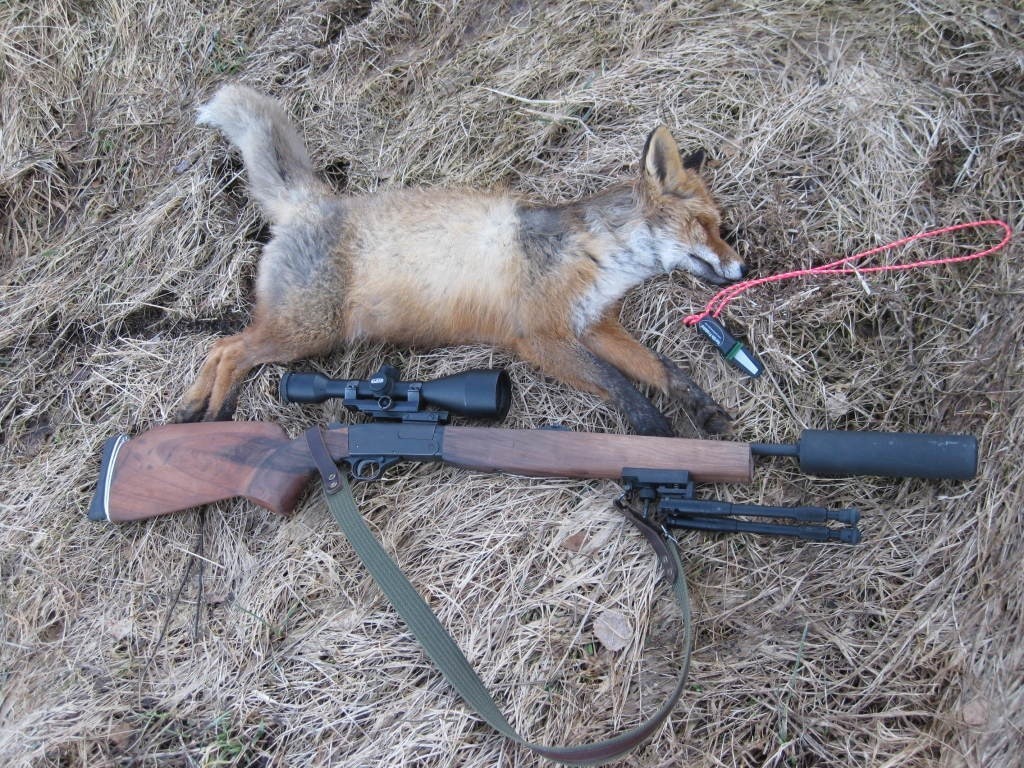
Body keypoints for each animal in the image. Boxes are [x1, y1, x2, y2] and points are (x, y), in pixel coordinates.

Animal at [176, 85, 747, 437]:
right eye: (704, 225)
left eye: (722, 227)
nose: (742, 269)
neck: (596, 255)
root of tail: (311, 203)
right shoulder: (540, 337)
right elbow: (620, 385)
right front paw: (655, 431)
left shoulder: (594, 326)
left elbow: (661, 368)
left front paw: (701, 409)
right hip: (308, 332)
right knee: (229, 349)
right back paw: (216, 413)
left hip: (303, 332)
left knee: (221, 348)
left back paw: (189, 410)